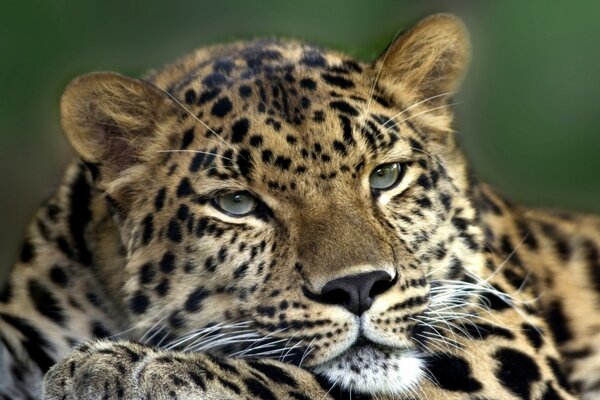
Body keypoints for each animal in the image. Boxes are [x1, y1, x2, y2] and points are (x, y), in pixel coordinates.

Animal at [1, 14, 600, 398]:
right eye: (237, 203)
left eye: (385, 175)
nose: (358, 288)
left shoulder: (503, 340)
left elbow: (294, 378)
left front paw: (128, 369)